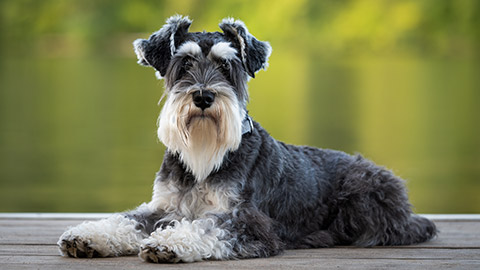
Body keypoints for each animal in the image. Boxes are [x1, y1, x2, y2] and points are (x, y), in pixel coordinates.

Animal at [58, 15, 436, 264]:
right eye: (184, 65)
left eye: (227, 68)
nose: (204, 96)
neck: (204, 159)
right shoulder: (163, 207)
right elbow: (127, 219)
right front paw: (88, 235)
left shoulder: (249, 221)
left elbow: (209, 227)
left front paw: (172, 242)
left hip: (364, 190)